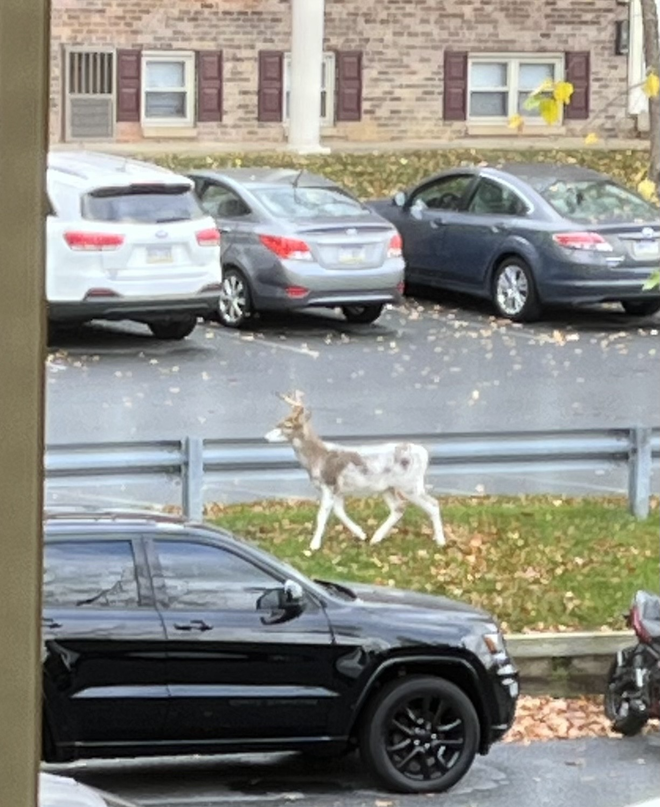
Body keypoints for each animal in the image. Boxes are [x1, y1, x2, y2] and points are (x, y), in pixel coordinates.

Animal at [264, 391, 445, 552]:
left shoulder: (329, 484)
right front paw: (361, 533)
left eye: (288, 425)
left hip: (409, 484)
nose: (265, 437)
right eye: (279, 421)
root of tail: (424, 453)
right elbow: (339, 512)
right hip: (388, 488)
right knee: (399, 507)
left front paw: (314, 545)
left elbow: (322, 515)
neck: (318, 458)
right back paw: (376, 538)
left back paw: (441, 541)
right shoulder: (338, 490)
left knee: (433, 504)